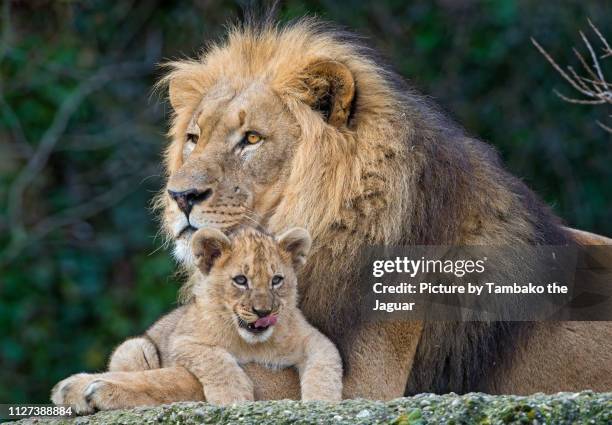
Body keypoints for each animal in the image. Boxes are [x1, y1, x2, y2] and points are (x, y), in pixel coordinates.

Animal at [52, 19, 612, 408]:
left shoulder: (365, 380)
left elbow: (216, 374)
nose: (181, 196)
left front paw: (94, 383)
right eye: (194, 137)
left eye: (251, 139)